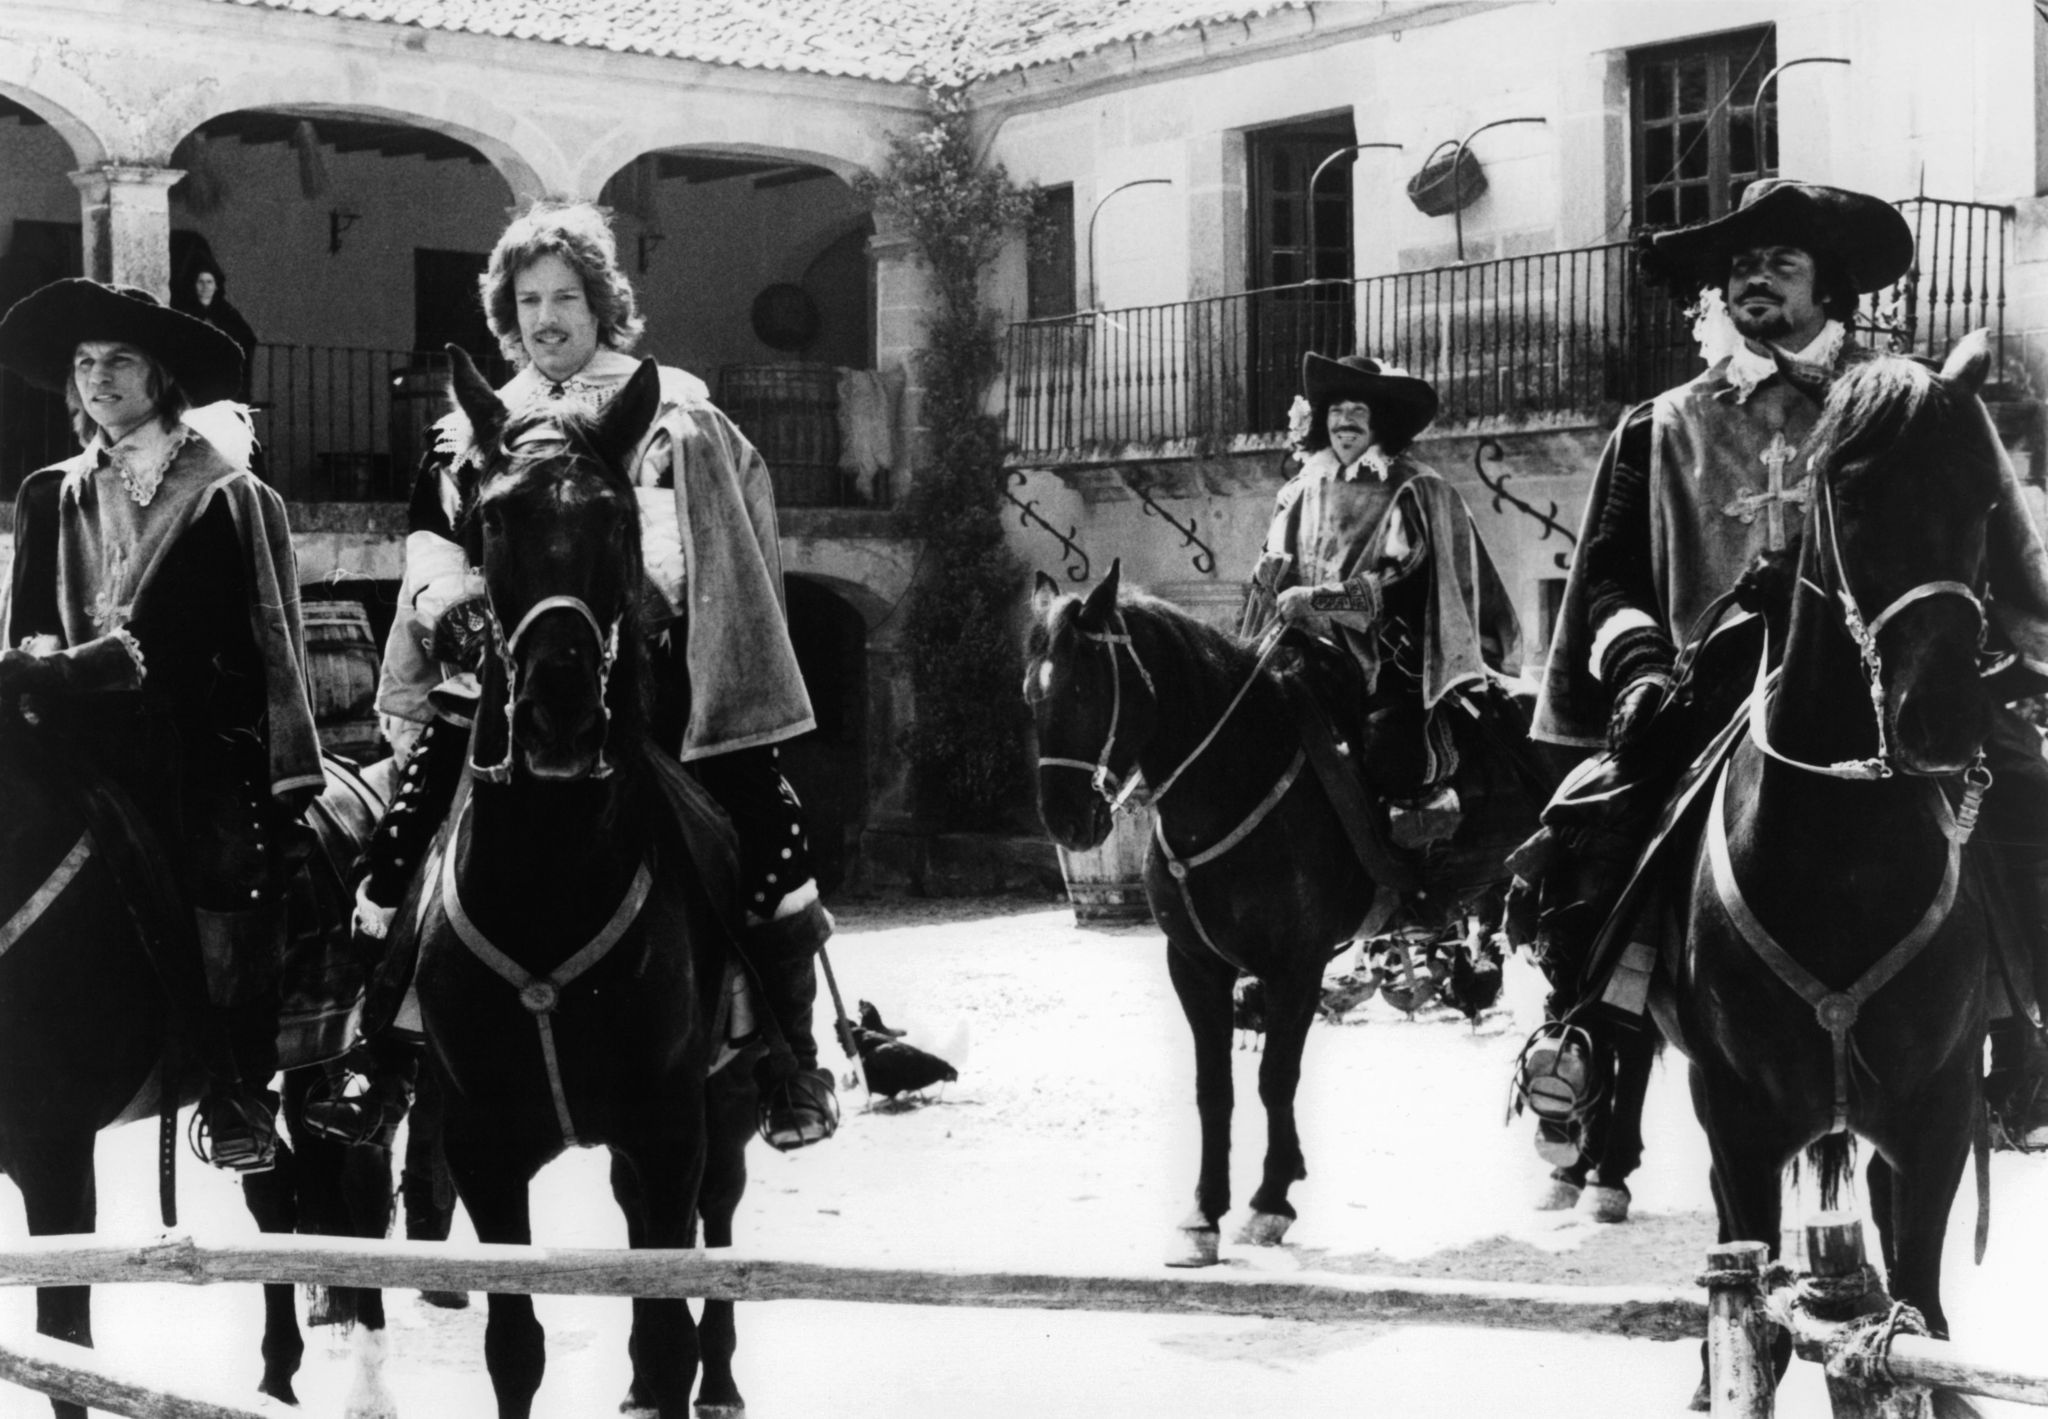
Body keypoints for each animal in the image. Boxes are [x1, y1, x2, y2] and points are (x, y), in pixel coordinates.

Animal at [0, 728, 399, 1416]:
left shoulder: (56, 1157)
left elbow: (61, 1345)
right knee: (277, 1194)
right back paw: (276, 1377)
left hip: (334, 1062)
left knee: (359, 1195)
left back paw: (368, 1388)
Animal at [415, 346, 761, 1416]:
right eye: (493, 518)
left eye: (613, 519)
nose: (559, 710)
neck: (547, 883)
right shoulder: (483, 1148)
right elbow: (514, 1349)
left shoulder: (668, 1127)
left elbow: (665, 1327)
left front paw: (683, 1369)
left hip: (721, 1112)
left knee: (718, 1231)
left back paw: (723, 1375)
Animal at [1032, 561, 1540, 1253]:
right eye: (1031, 694)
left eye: (1085, 687)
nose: (1065, 821)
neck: (1230, 781)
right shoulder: (1194, 965)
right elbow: (1213, 1088)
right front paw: (1203, 1213)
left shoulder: (1295, 965)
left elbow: (1275, 1078)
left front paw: (1270, 1199)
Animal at [1662, 335, 1998, 1408]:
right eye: (1848, 493)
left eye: (1984, 495)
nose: (1945, 719)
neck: (1840, 861)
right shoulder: (1736, 1117)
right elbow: (1754, 1325)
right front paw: (1720, 1367)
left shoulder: (1938, 1112)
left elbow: (1922, 1307)